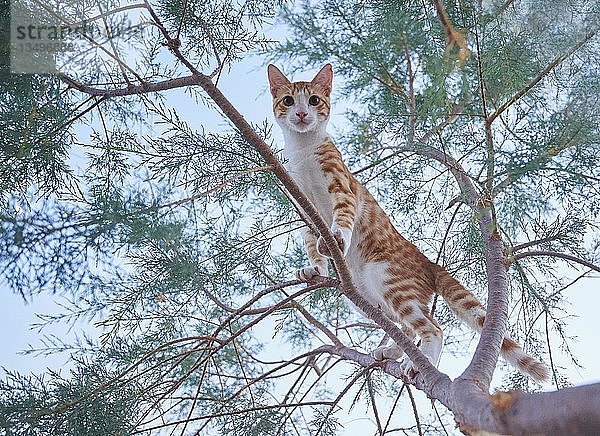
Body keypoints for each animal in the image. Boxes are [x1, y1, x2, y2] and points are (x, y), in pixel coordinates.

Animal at [268, 63, 548, 382]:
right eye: (289, 101)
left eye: (314, 100)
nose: (302, 113)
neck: (303, 150)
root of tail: (428, 262)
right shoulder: (301, 203)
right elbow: (310, 242)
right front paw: (315, 269)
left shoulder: (342, 187)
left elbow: (343, 214)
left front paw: (337, 236)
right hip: (367, 292)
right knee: (407, 325)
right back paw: (392, 351)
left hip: (388, 277)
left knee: (433, 327)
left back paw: (419, 361)